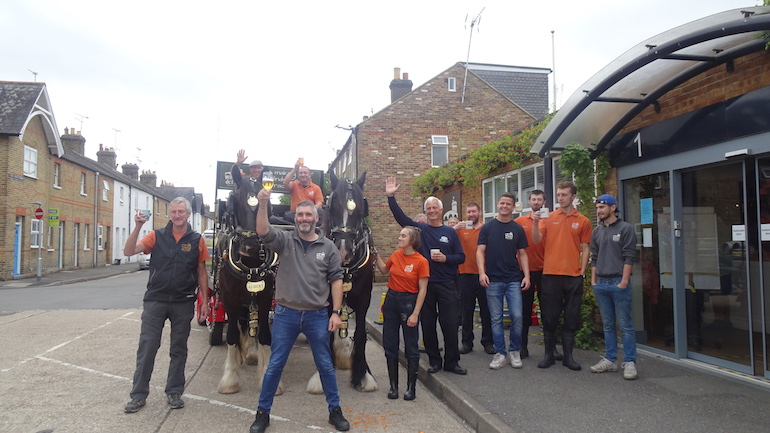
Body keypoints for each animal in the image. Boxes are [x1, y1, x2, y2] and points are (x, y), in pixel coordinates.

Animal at [213, 174, 280, 394]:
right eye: (235, 200)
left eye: (266, 205)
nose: (249, 246)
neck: (250, 264)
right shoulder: (229, 300)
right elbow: (233, 335)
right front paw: (230, 379)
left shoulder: (265, 297)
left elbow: (264, 334)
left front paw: (267, 376)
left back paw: (251, 353)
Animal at [308, 171, 376, 392]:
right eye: (333, 206)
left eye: (362, 208)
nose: (343, 253)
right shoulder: (328, 299)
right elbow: (325, 334)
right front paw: (322, 375)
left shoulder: (364, 299)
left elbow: (361, 334)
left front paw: (363, 375)